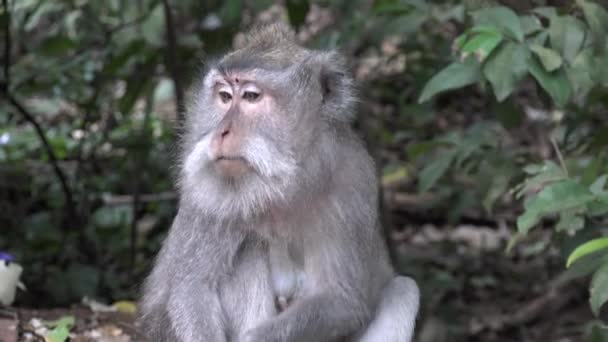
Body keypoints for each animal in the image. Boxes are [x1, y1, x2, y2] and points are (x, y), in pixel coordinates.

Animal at [140, 22, 420, 340]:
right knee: (249, 249)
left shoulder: (355, 178)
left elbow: (342, 299)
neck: (285, 183)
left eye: (251, 96)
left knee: (404, 290)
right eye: (224, 97)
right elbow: (193, 288)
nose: (221, 132)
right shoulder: (206, 192)